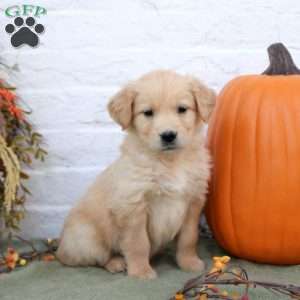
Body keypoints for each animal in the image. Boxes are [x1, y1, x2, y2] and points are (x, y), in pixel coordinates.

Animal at [56, 69, 216, 278]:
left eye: (182, 109)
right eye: (148, 113)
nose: (168, 135)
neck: (169, 162)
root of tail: (60, 249)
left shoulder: (193, 202)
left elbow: (188, 238)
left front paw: (189, 262)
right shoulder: (133, 206)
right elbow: (138, 243)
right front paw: (141, 272)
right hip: (86, 238)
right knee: (97, 257)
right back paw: (116, 262)